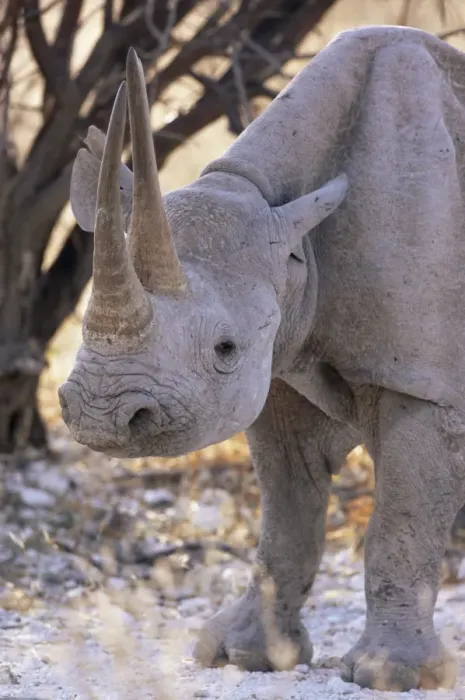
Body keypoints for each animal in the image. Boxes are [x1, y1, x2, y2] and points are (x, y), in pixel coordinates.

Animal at [59, 25, 465, 691]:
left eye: (226, 349)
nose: (99, 416)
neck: (297, 251)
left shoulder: (424, 379)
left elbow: (400, 519)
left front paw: (390, 674)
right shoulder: (281, 370)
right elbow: (286, 512)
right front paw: (244, 655)